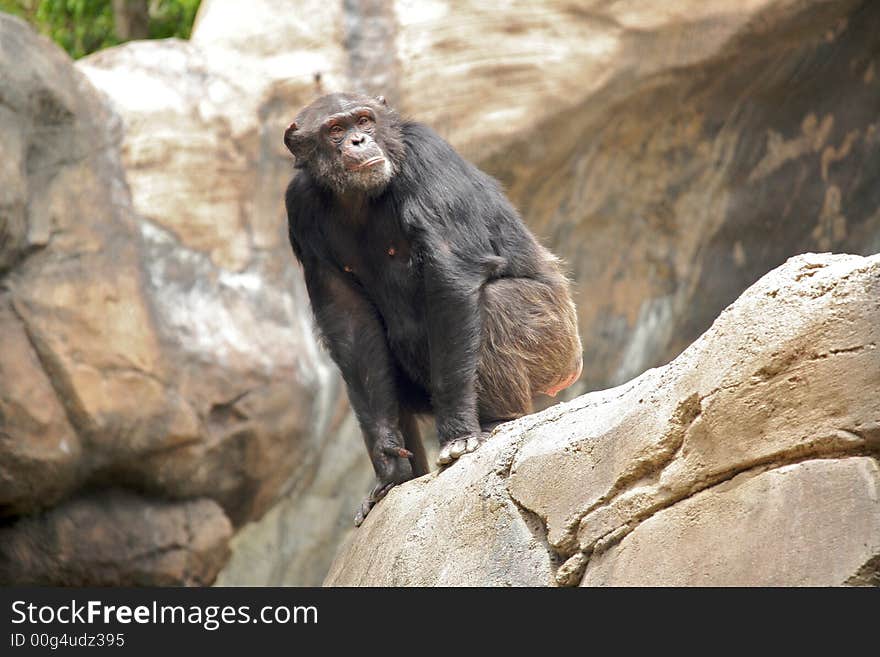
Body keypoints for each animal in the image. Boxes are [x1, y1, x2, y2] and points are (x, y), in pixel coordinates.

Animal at [286, 92, 580, 524]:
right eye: (335, 129)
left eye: (364, 120)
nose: (358, 140)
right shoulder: (299, 206)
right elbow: (350, 323)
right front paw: (389, 465)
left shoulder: (428, 156)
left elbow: (450, 275)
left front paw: (458, 433)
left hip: (556, 339)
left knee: (492, 306)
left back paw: (498, 420)